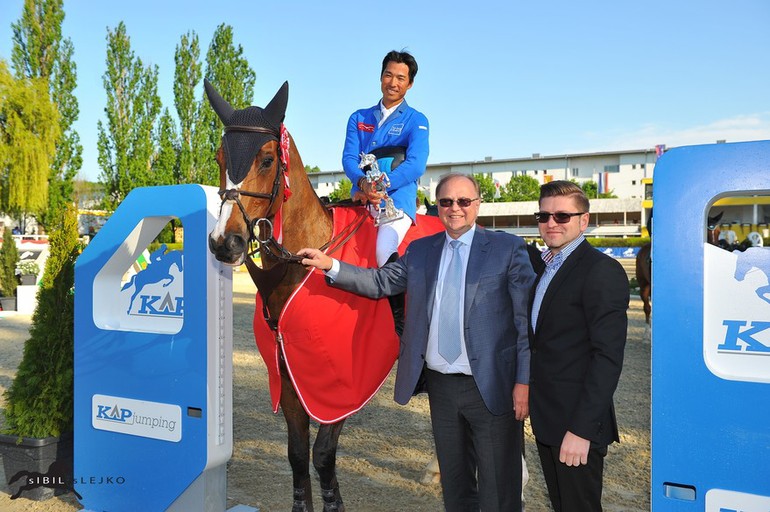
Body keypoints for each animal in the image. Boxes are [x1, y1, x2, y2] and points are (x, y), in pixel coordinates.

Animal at [204, 80, 440, 512]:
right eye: (220, 157)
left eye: (267, 160)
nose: (224, 243)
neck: (303, 263)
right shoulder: (287, 373)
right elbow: (297, 454)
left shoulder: (340, 384)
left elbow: (323, 455)